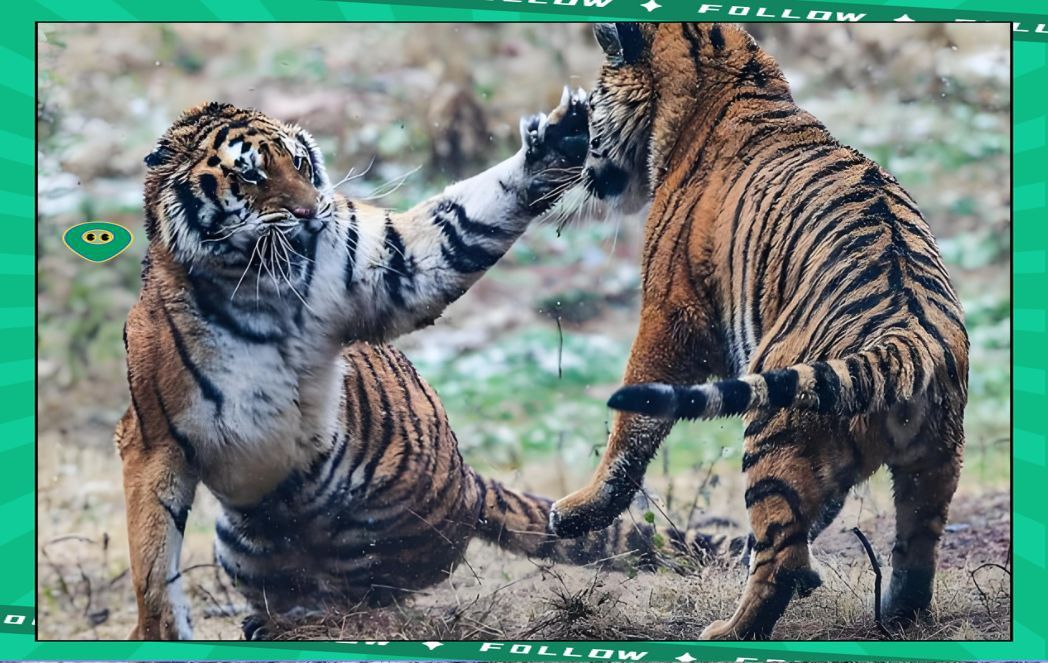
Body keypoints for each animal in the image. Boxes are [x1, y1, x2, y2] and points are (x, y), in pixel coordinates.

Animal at [117, 93, 725, 641]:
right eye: (250, 175)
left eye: (302, 165)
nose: (313, 212)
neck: (260, 285)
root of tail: (472, 484)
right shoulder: (152, 439)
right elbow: (152, 558)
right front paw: (160, 629)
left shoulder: (389, 267)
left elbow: (462, 223)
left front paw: (559, 139)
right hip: (239, 540)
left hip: (372, 525)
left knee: (363, 598)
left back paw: (307, 623)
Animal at [547, 23, 969, 640]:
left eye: (592, 110)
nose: (580, 166)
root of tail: (908, 340)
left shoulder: (671, 314)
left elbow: (631, 426)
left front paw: (578, 510)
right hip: (935, 465)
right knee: (915, 551)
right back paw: (897, 617)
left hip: (774, 433)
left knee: (781, 558)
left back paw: (728, 630)